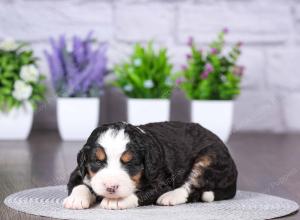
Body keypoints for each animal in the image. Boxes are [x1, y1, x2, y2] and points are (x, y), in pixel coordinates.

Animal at [64, 122, 238, 210]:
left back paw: (170, 197)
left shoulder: (162, 180)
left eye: (130, 163)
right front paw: (76, 200)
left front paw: (116, 201)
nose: (111, 187)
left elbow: (142, 193)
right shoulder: (78, 171)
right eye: (98, 161)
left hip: (209, 158)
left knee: (190, 187)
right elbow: (78, 185)